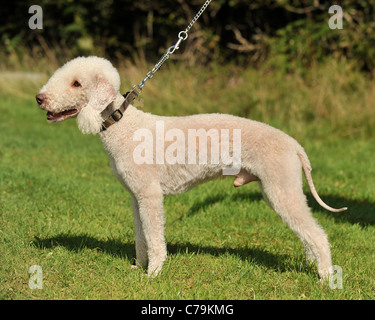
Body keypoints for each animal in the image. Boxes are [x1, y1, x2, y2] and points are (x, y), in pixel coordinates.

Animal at [36, 56, 346, 278]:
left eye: (76, 83)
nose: (40, 98)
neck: (123, 126)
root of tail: (294, 144)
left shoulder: (150, 196)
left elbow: (154, 237)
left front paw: (153, 274)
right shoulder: (137, 197)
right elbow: (141, 236)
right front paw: (138, 266)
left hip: (281, 186)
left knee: (318, 235)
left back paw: (326, 277)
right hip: (281, 189)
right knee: (306, 232)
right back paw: (313, 265)